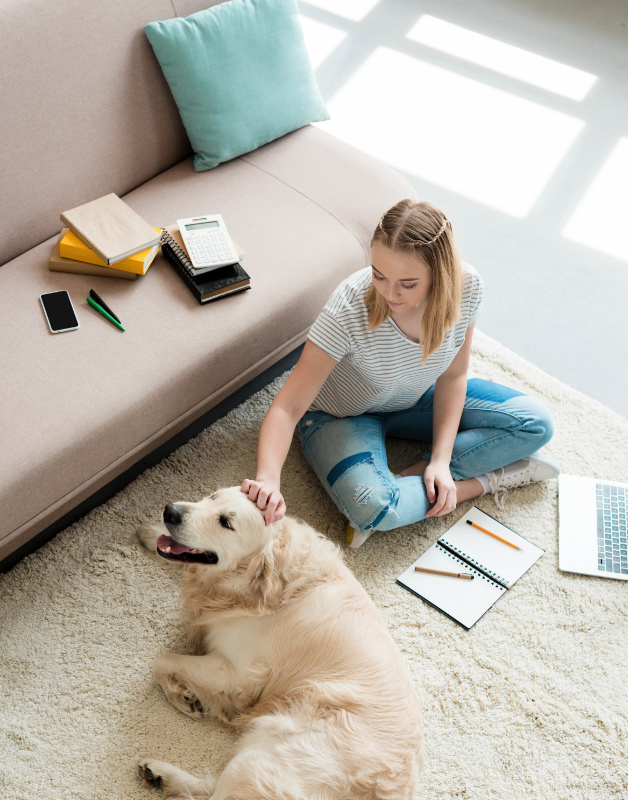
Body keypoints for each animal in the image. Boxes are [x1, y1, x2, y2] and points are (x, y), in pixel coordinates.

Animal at [137, 484, 422, 796]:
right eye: (212, 497)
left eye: (226, 523)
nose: (170, 511)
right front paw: (150, 532)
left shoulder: (237, 674)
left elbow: (161, 661)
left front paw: (181, 697)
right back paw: (159, 774)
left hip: (260, 757)